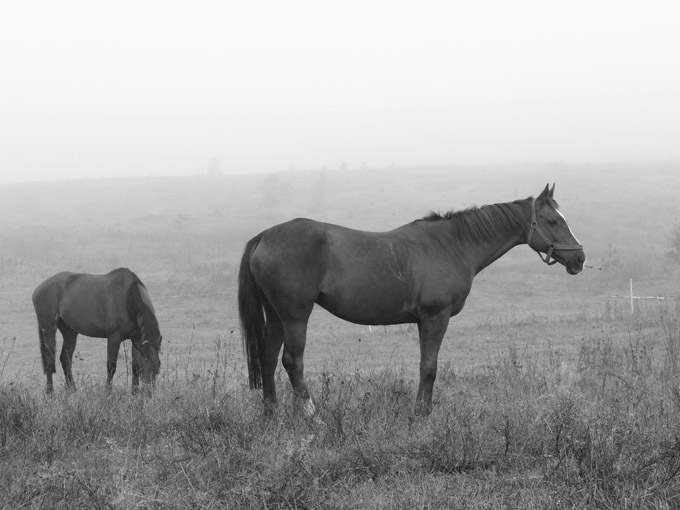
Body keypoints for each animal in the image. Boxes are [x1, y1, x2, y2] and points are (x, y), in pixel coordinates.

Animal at [31, 266, 162, 394]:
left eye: (157, 366)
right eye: (144, 366)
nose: (149, 392)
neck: (127, 298)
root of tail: (38, 290)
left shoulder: (136, 339)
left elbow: (134, 366)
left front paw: (134, 393)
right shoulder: (114, 338)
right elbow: (111, 367)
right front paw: (107, 392)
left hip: (70, 332)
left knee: (65, 359)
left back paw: (73, 391)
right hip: (48, 329)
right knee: (50, 360)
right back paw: (50, 392)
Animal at [238, 183, 584, 414]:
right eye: (553, 221)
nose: (579, 258)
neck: (452, 245)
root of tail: (263, 237)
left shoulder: (422, 321)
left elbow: (425, 365)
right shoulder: (435, 318)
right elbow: (429, 367)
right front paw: (421, 414)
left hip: (277, 316)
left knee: (268, 358)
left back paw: (271, 415)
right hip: (295, 315)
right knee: (291, 361)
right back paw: (313, 415)